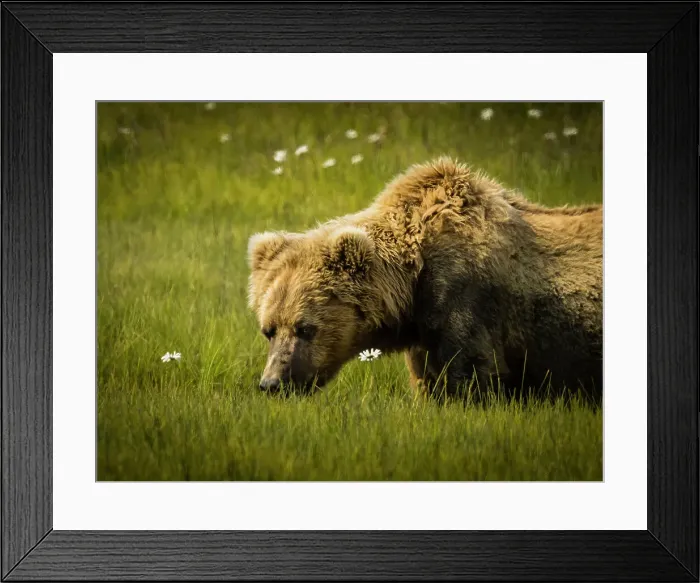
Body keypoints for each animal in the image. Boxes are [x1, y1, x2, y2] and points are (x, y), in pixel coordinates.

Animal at [247, 157, 602, 402]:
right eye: (268, 330)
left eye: (306, 328)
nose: (272, 383)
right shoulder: (424, 333)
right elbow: (429, 382)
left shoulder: (465, 300)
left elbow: (472, 376)